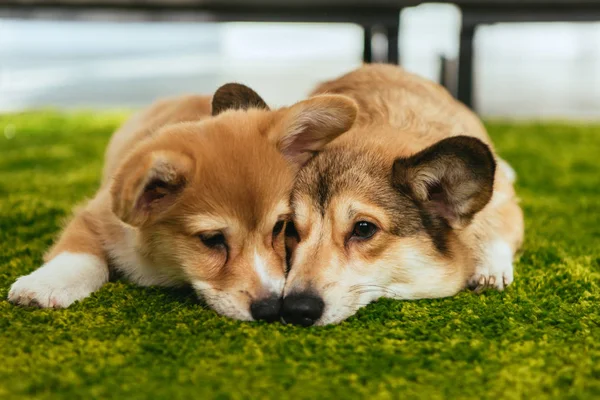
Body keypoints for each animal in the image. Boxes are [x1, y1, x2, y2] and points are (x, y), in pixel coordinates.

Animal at [8, 83, 356, 322]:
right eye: (211, 239)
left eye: (280, 227)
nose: (271, 309)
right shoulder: (93, 216)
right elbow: (78, 254)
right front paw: (45, 285)